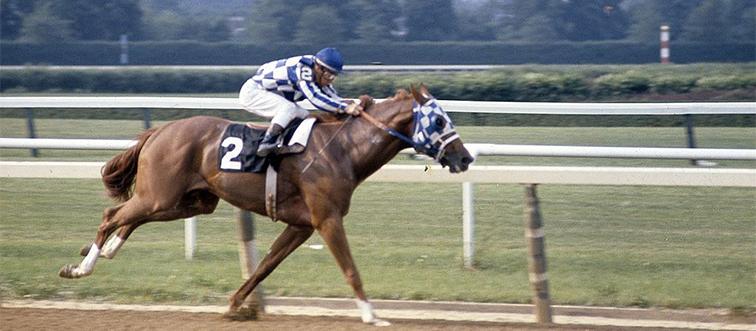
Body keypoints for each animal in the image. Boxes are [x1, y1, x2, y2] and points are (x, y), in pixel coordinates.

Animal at [59, 85, 472, 326]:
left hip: (187, 201)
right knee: (112, 214)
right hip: (161, 194)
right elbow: (350, 268)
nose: (465, 157)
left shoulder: (302, 225)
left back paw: (108, 250)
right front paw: (372, 314)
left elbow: (265, 267)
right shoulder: (327, 219)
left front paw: (235, 305)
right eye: (438, 120)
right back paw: (80, 268)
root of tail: (159, 129)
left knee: (130, 218)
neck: (343, 149)